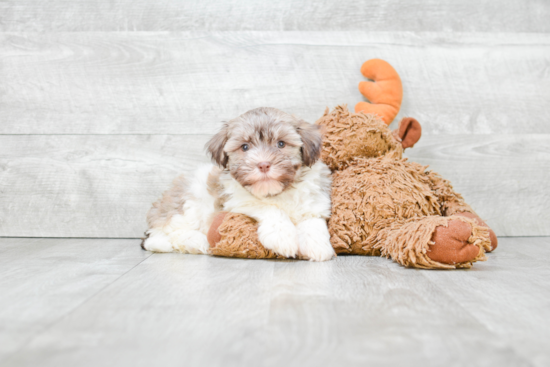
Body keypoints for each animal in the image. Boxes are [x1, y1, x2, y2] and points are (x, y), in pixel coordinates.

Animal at [140, 106, 334, 262]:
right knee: (164, 234)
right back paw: (195, 242)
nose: (263, 164)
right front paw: (283, 236)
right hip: (189, 203)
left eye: (281, 144)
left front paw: (317, 245)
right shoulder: (237, 201)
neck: (277, 192)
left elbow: (312, 219)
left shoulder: (315, 199)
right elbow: (269, 208)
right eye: (245, 147)